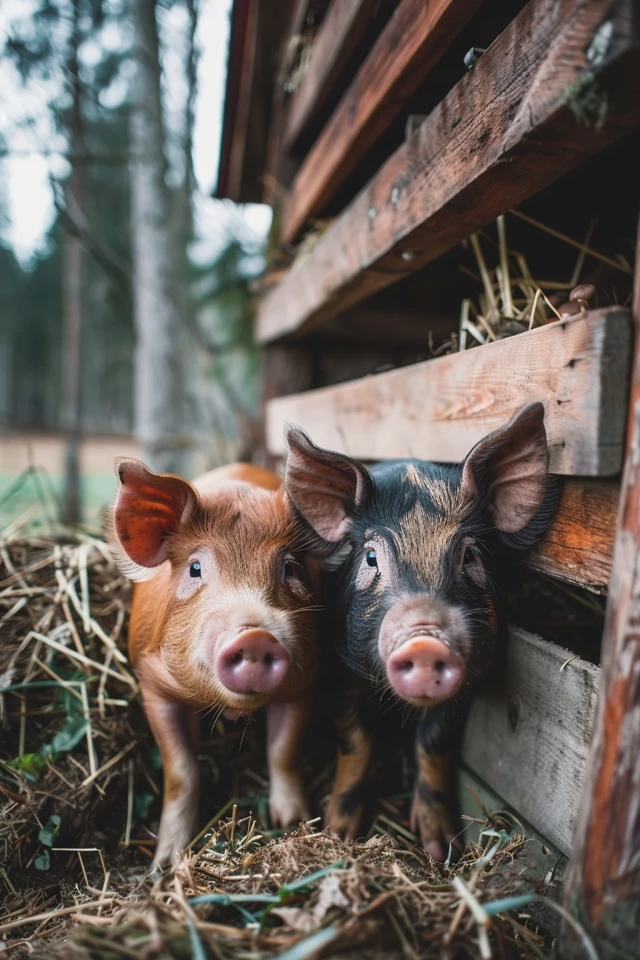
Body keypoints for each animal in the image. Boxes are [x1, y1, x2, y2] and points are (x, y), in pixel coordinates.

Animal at [108, 460, 319, 867]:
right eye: (195, 568)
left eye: (289, 568)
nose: (255, 636)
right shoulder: (153, 684)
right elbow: (181, 771)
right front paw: (165, 863)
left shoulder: (306, 681)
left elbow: (283, 751)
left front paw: (290, 824)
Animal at [284, 403, 558, 859]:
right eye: (371, 558)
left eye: (470, 555)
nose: (426, 641)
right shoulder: (340, 670)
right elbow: (355, 742)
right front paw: (339, 833)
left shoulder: (471, 675)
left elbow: (435, 741)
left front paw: (440, 848)